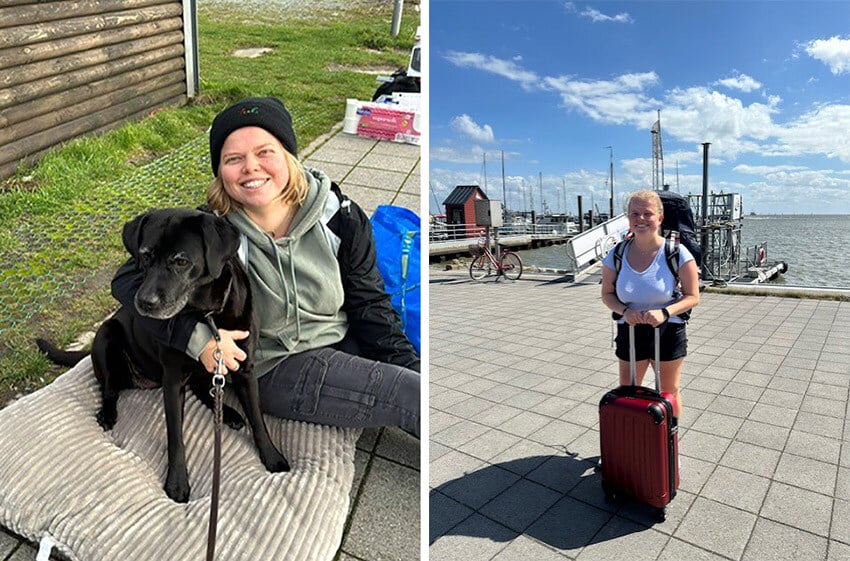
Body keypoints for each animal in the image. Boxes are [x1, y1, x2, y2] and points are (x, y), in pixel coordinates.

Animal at [37, 208, 288, 500]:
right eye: (145, 255)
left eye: (181, 261)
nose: (145, 303)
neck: (208, 315)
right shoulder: (173, 380)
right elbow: (175, 437)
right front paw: (177, 483)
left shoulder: (245, 369)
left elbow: (258, 420)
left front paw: (272, 457)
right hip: (107, 336)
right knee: (109, 389)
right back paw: (108, 414)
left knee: (203, 390)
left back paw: (229, 414)